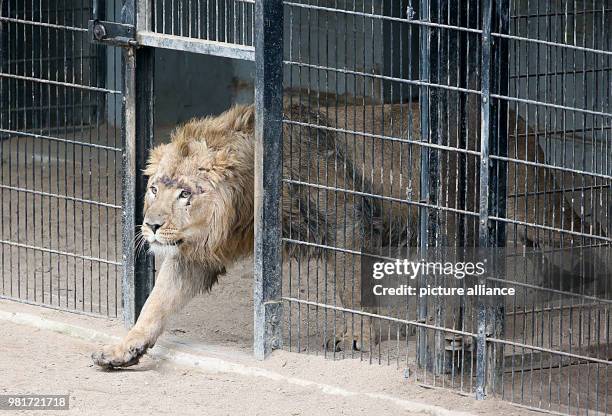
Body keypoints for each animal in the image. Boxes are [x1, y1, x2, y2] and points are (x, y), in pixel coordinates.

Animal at [91, 103, 604, 368]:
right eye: (154, 188)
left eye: (185, 193)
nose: (151, 225)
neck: (245, 201)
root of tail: (517, 120)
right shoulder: (199, 253)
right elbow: (156, 302)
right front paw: (125, 346)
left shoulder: (349, 221)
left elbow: (350, 290)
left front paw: (357, 336)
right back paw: (455, 332)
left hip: (530, 207)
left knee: (578, 238)